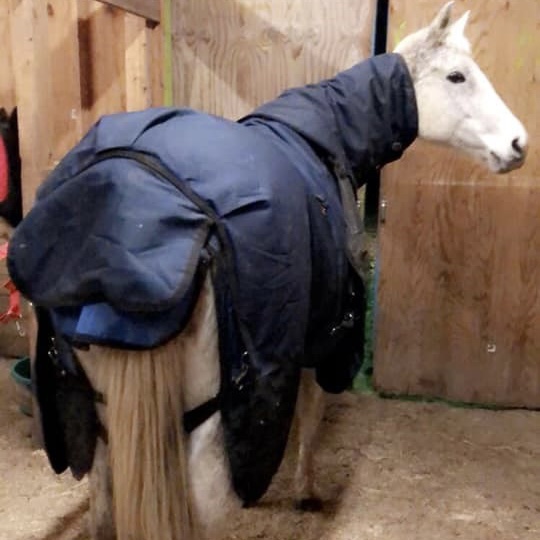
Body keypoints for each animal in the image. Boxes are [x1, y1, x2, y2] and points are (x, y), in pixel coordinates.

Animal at [26, 2, 528, 536]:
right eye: (457, 76)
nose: (519, 143)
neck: (323, 134)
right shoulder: (318, 337)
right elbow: (310, 412)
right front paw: (306, 491)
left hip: (97, 412)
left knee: (101, 498)